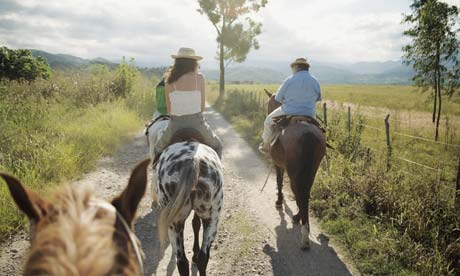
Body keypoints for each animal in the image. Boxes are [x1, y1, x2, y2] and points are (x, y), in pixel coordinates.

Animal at [146, 113, 224, 274]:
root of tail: (192, 161)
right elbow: (196, 224)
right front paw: (195, 254)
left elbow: (195, 224)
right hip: (211, 218)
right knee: (202, 258)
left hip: (175, 223)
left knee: (182, 261)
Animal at [264, 90, 326, 250]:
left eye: (269, 103)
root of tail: (307, 133)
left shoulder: (278, 164)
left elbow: (279, 181)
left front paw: (279, 201)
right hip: (312, 170)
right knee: (305, 193)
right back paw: (300, 219)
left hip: (294, 174)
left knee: (300, 193)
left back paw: (304, 235)